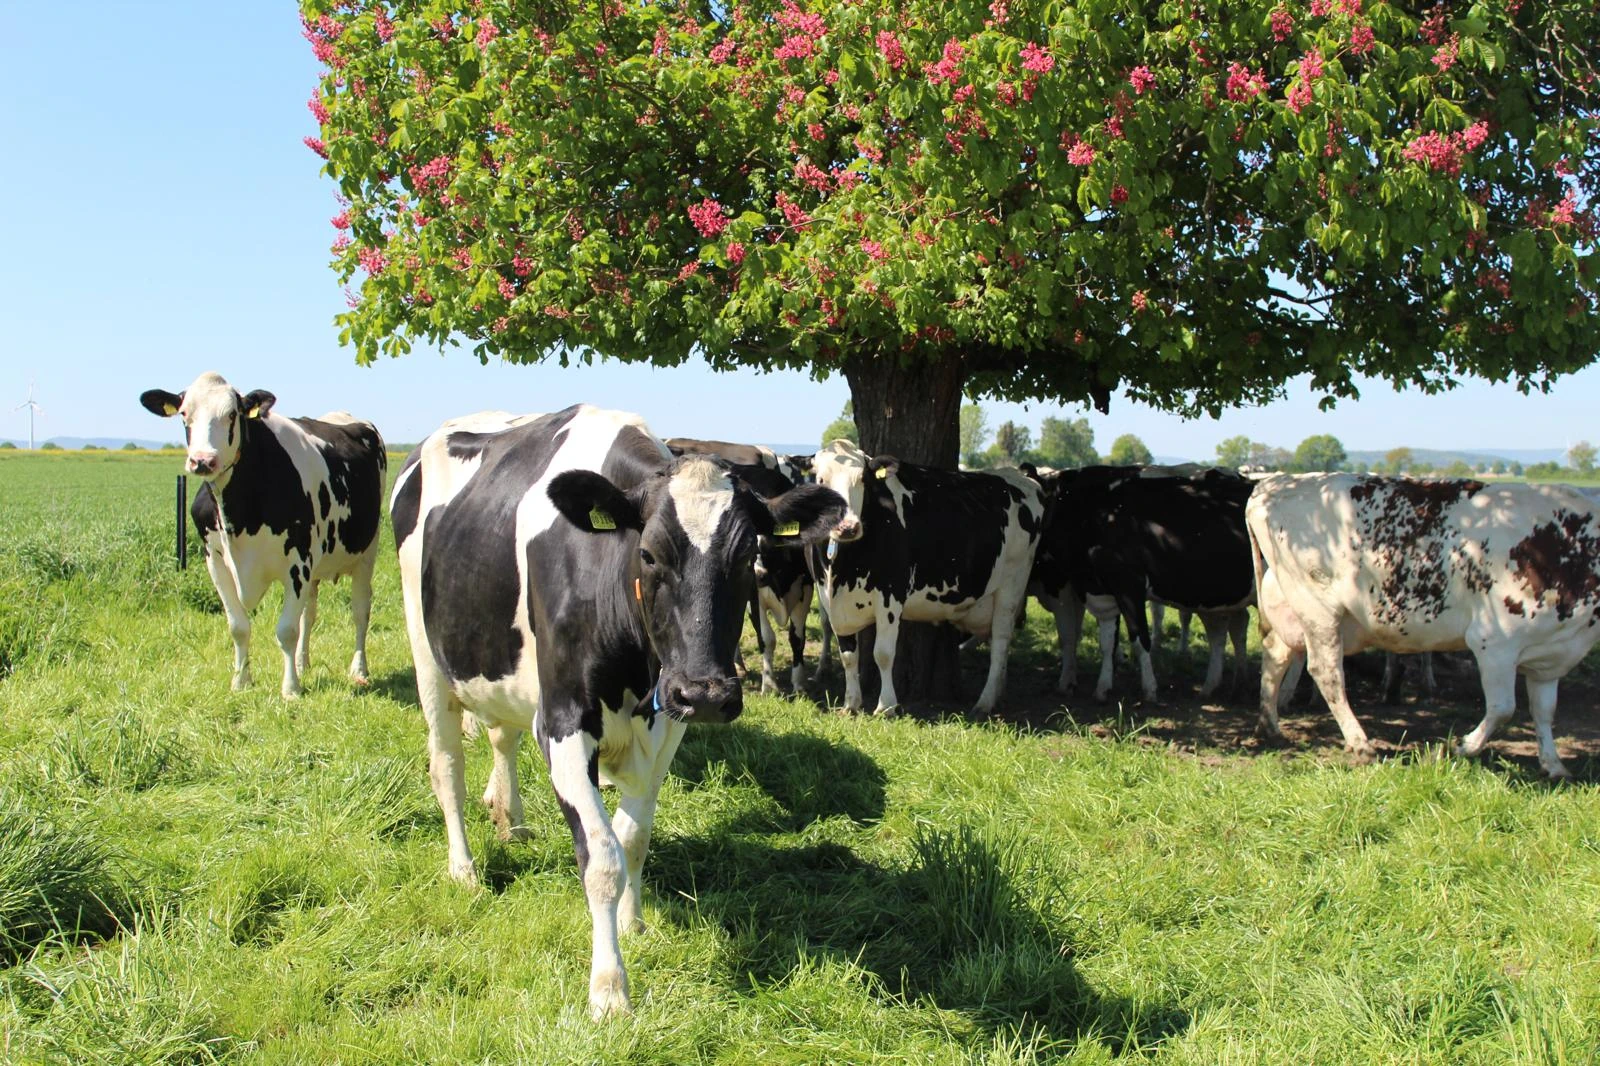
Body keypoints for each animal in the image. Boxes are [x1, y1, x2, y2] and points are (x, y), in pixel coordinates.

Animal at [139, 372, 385, 699]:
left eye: (233, 414)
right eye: (183, 413)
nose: (202, 460)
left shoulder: (298, 562)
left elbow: (286, 630)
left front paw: (290, 689)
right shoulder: (215, 561)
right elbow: (238, 626)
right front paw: (241, 681)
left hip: (366, 551)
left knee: (360, 610)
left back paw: (358, 669)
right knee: (309, 612)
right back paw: (303, 663)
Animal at [665, 438, 817, 695]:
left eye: (767, 538)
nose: (757, 575)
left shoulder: (804, 588)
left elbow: (797, 638)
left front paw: (799, 684)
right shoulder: (755, 595)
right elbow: (767, 638)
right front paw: (769, 684)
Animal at [809, 440, 1044, 716]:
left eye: (862, 480)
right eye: (821, 480)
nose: (847, 527)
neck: (842, 569)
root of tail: (1019, 476)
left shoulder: (891, 594)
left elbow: (883, 654)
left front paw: (886, 706)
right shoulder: (830, 600)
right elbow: (848, 656)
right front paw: (851, 704)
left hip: (1011, 584)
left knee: (1000, 644)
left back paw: (984, 702)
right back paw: (998, 693)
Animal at [1029, 466, 1255, 701]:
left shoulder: (1129, 587)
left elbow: (1139, 640)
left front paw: (1149, 689)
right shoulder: (1103, 591)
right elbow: (1106, 642)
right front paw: (1102, 688)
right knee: (1228, 628)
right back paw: (1228, 685)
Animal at [1250, 473, 1600, 779]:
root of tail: (1273, 485)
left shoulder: (1551, 654)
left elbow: (1544, 711)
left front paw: (1553, 765)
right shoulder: (1494, 641)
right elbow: (1503, 708)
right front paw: (1459, 748)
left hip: (1290, 608)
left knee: (1275, 656)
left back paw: (1269, 726)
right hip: (1319, 611)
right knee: (1327, 673)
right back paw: (1361, 745)